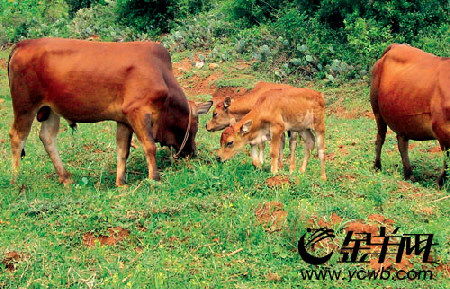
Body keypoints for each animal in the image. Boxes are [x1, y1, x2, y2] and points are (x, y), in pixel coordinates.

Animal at [7, 37, 211, 186]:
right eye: (196, 126)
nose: (193, 153)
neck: (161, 74)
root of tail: (23, 44)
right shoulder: (138, 112)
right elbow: (150, 146)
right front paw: (154, 178)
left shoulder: (124, 119)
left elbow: (123, 151)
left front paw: (121, 183)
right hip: (25, 106)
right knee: (17, 136)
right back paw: (16, 180)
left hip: (49, 109)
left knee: (47, 137)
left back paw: (65, 177)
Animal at [370, 44, 448, 186]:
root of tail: (394, 46)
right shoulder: (441, 130)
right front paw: (440, 183)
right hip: (377, 110)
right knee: (380, 137)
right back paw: (377, 167)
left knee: (402, 142)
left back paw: (408, 174)